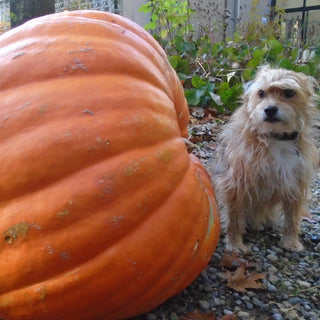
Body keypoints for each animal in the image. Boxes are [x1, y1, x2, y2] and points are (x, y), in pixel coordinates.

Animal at [214, 67, 318, 252]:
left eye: (289, 93)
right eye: (261, 93)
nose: (270, 109)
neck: (276, 137)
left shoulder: (296, 184)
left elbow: (292, 218)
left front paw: (291, 242)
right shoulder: (235, 184)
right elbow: (234, 219)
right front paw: (235, 244)